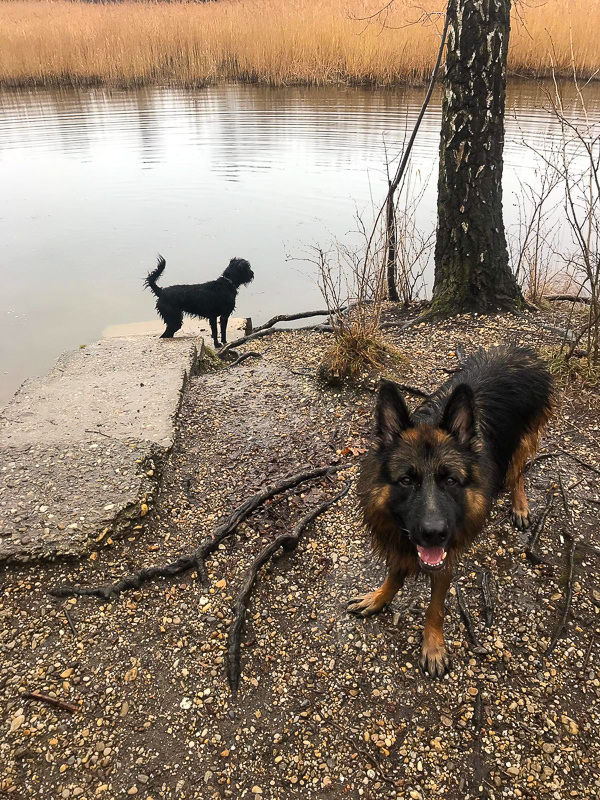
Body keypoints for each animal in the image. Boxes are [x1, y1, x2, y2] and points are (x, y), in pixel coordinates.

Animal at [352, 346, 552, 680]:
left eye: (450, 480)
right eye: (406, 481)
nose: (434, 533)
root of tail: (518, 351)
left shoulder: (447, 555)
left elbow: (436, 607)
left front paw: (433, 646)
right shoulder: (400, 541)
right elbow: (394, 575)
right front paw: (380, 598)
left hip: (522, 442)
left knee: (517, 474)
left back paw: (520, 505)